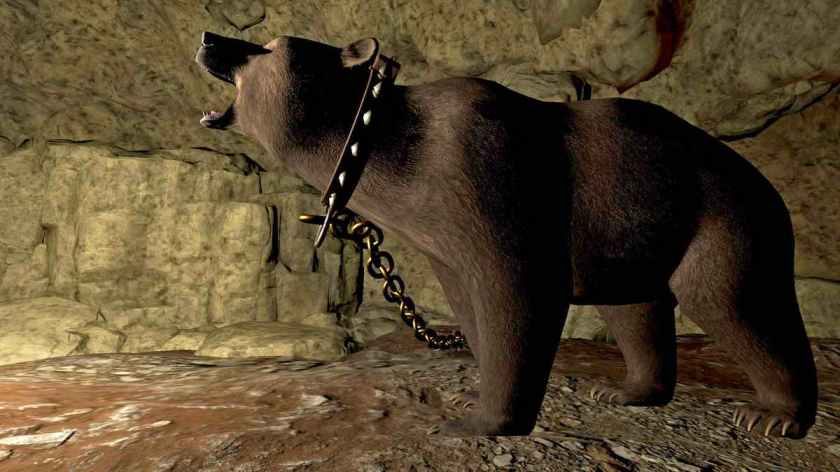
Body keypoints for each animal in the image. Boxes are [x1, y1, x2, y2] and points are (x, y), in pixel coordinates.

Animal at [195, 31, 818, 438]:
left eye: (268, 45)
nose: (208, 37)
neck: (381, 146)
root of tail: (764, 184)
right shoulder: (442, 240)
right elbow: (471, 307)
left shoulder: (484, 177)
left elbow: (516, 296)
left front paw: (479, 422)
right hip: (632, 230)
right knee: (635, 307)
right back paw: (628, 390)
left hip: (720, 216)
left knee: (736, 303)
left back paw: (773, 416)